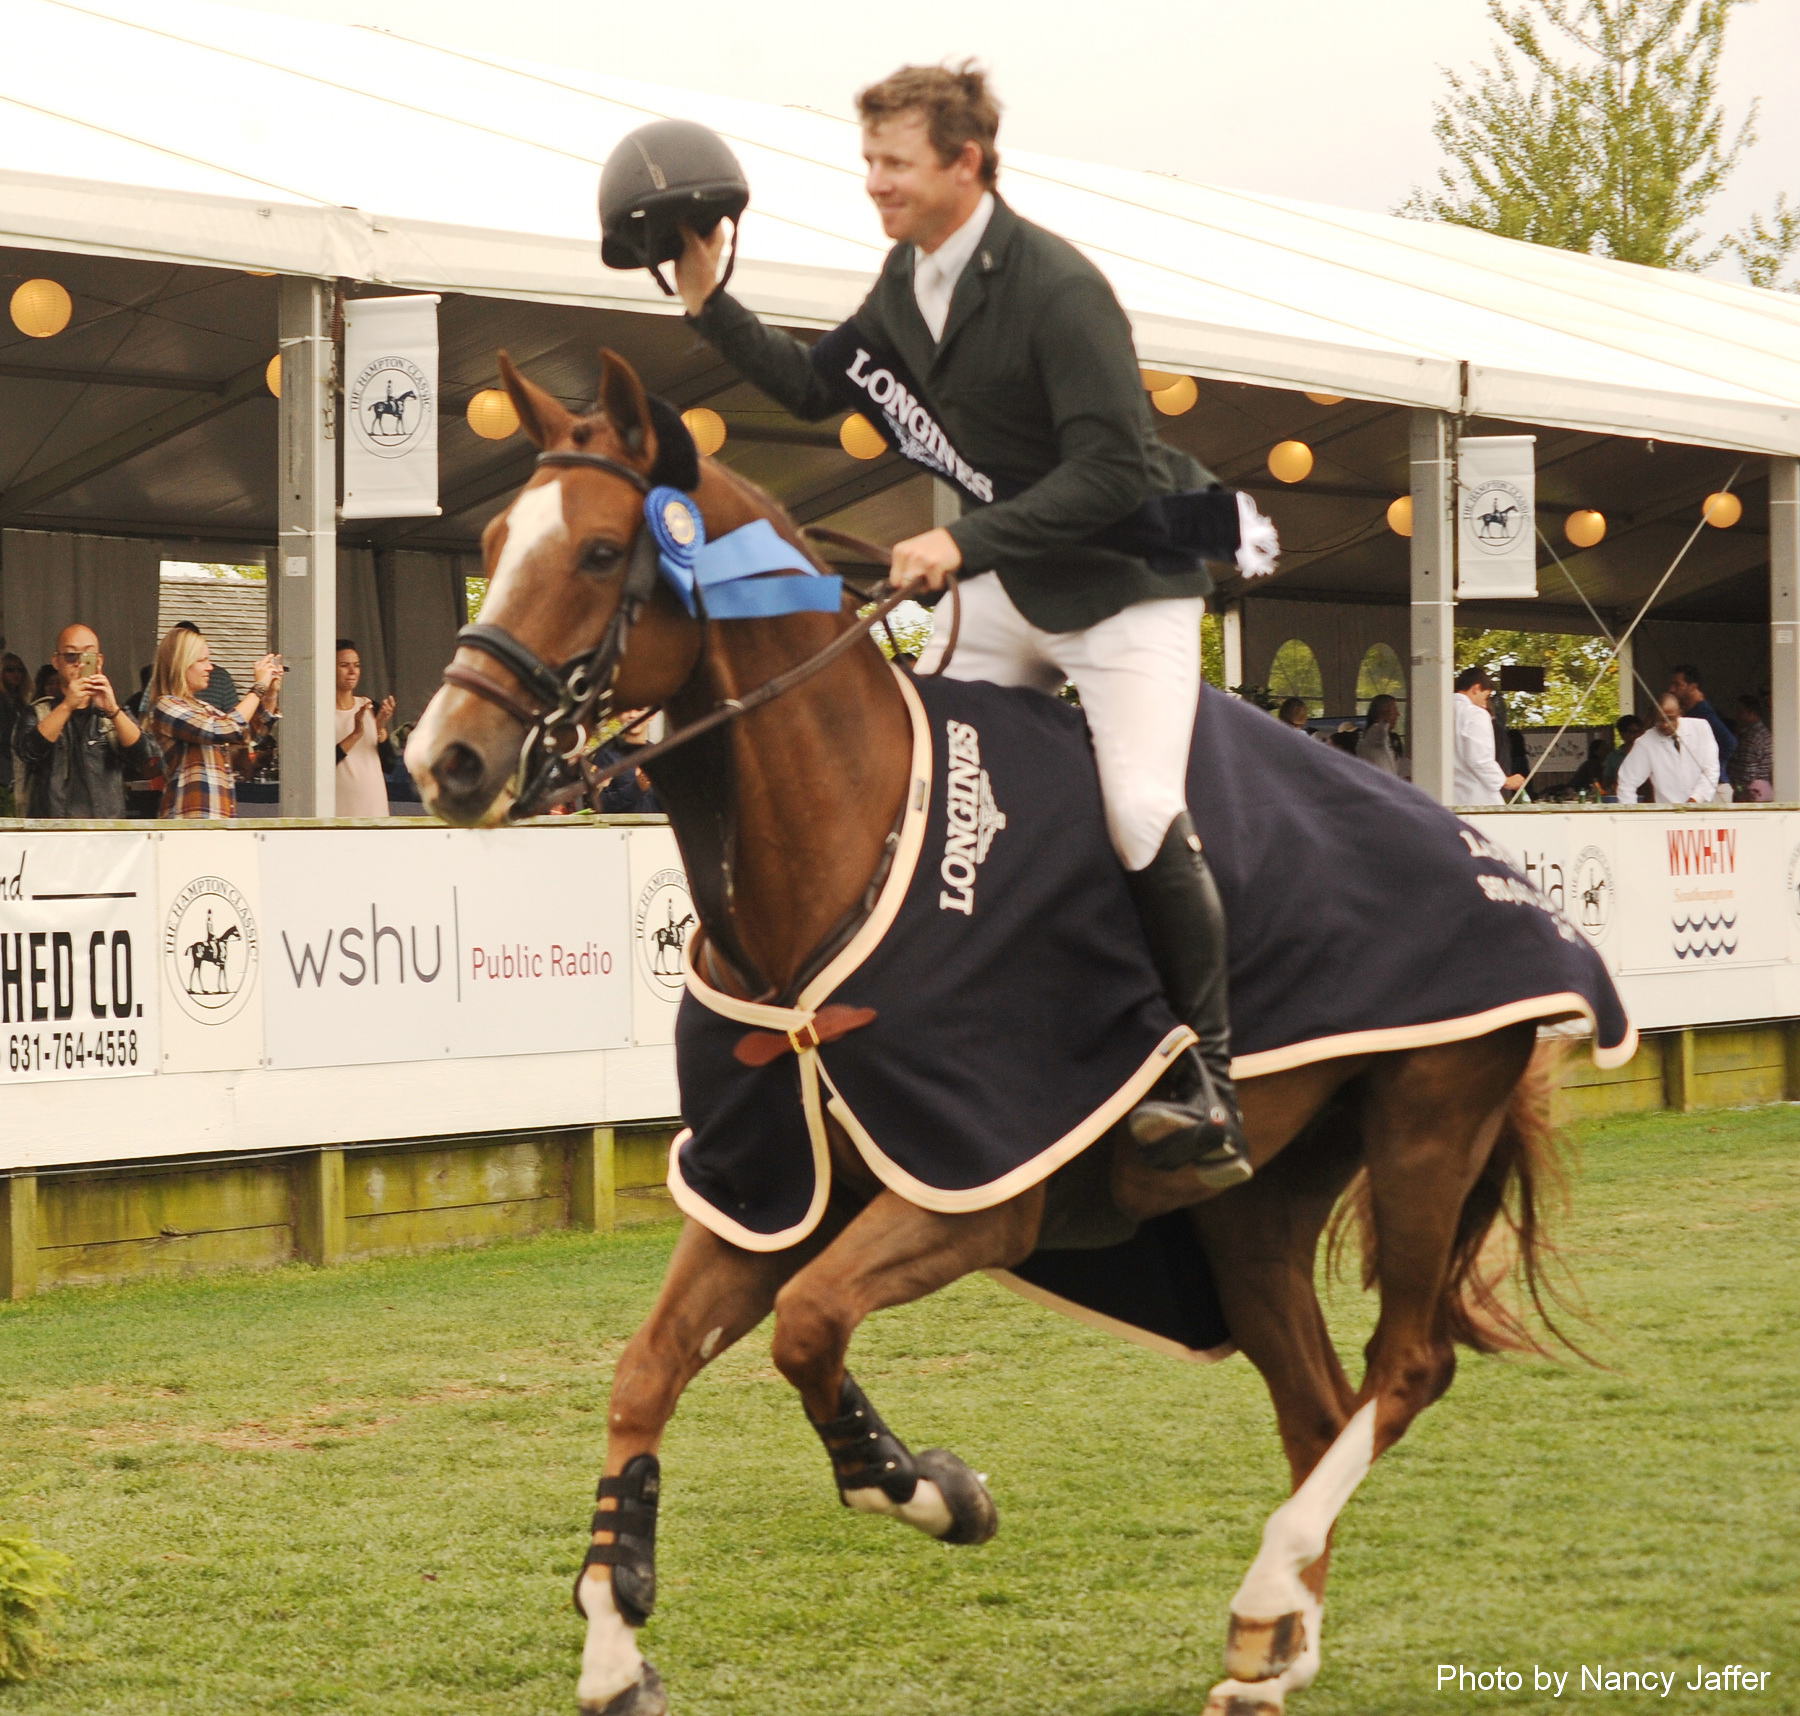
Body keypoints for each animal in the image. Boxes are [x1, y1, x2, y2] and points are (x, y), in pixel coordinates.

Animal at [412, 347, 1576, 1714]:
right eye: (496, 540)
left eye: (600, 552)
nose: (444, 760)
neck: (842, 846)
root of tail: (1494, 859)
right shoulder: (769, 1187)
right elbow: (648, 1369)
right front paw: (612, 1643)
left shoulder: (978, 1192)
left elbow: (809, 1327)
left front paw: (923, 1487)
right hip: (1252, 1217)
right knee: (1317, 1400)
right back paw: (1274, 1646)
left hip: (1427, 1123)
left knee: (1405, 1368)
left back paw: (1266, 1599)